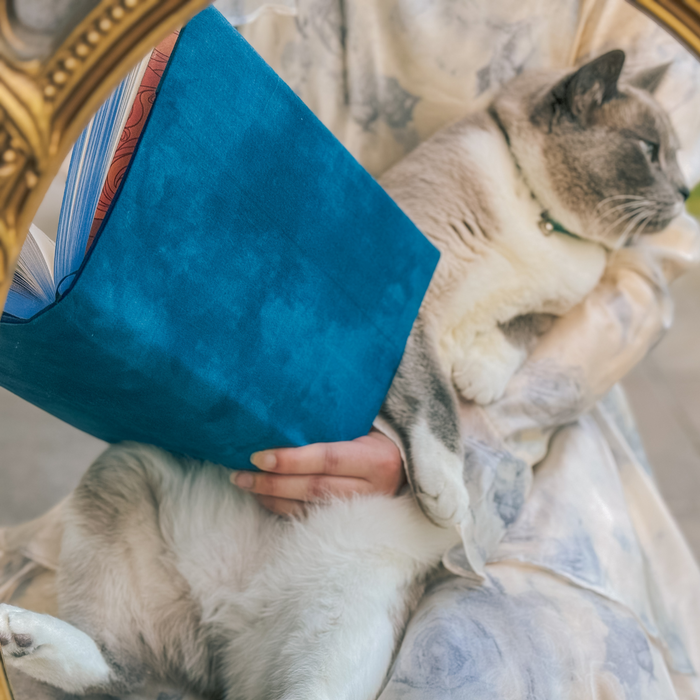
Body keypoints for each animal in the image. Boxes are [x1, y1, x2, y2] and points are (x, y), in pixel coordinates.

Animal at [0, 49, 688, 700]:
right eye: (652, 151)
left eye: (675, 157)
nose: (686, 194)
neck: (541, 219)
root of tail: (225, 643)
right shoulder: (414, 303)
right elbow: (438, 398)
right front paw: (448, 487)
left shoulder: (563, 299)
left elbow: (524, 329)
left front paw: (484, 370)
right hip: (124, 470)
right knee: (125, 674)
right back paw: (22, 632)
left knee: (139, 678)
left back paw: (26, 636)